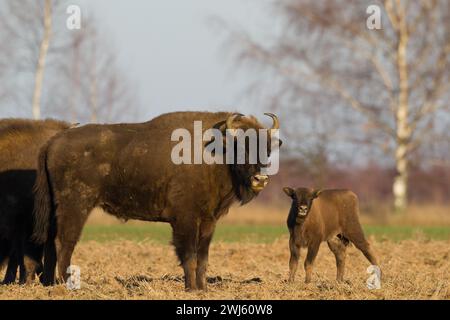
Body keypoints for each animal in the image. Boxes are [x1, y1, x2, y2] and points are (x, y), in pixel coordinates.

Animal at [33, 110, 280, 290]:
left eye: (267, 149)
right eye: (241, 147)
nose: (260, 179)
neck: (216, 151)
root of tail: (53, 142)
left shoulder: (208, 221)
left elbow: (203, 257)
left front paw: (202, 289)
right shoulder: (185, 220)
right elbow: (189, 255)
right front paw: (191, 289)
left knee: (51, 242)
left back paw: (49, 285)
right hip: (76, 207)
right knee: (64, 242)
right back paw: (69, 285)